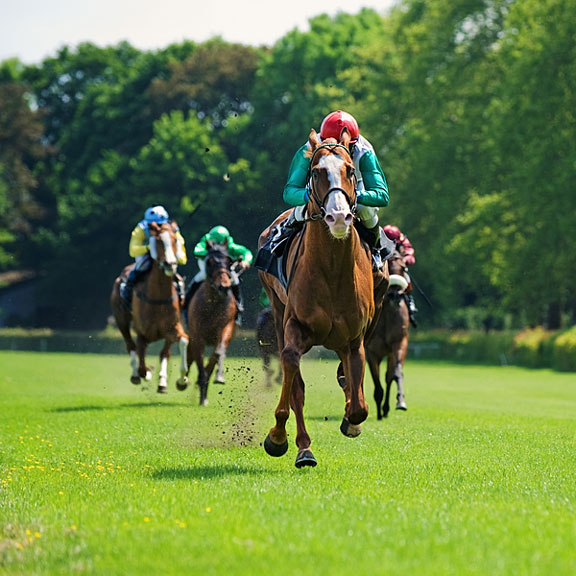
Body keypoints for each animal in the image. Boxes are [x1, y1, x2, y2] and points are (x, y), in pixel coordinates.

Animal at [112, 219, 191, 392]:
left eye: (175, 240)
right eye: (159, 241)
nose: (170, 264)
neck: (159, 297)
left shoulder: (172, 328)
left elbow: (183, 341)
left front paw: (182, 380)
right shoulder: (142, 332)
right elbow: (140, 357)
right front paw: (145, 372)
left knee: (164, 353)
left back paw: (162, 382)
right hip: (121, 319)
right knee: (131, 346)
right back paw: (137, 374)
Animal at [178, 242, 236, 404]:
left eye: (229, 261)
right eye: (209, 262)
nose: (224, 286)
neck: (213, 304)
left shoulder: (226, 327)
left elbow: (217, 354)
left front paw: (219, 377)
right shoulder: (197, 336)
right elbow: (198, 359)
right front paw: (201, 393)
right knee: (190, 356)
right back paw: (183, 381)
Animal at [364, 251, 410, 418]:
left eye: (404, 268)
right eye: (388, 264)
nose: (395, 295)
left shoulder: (399, 342)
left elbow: (395, 374)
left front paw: (400, 401)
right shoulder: (371, 350)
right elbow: (377, 383)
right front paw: (378, 411)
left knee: (389, 376)